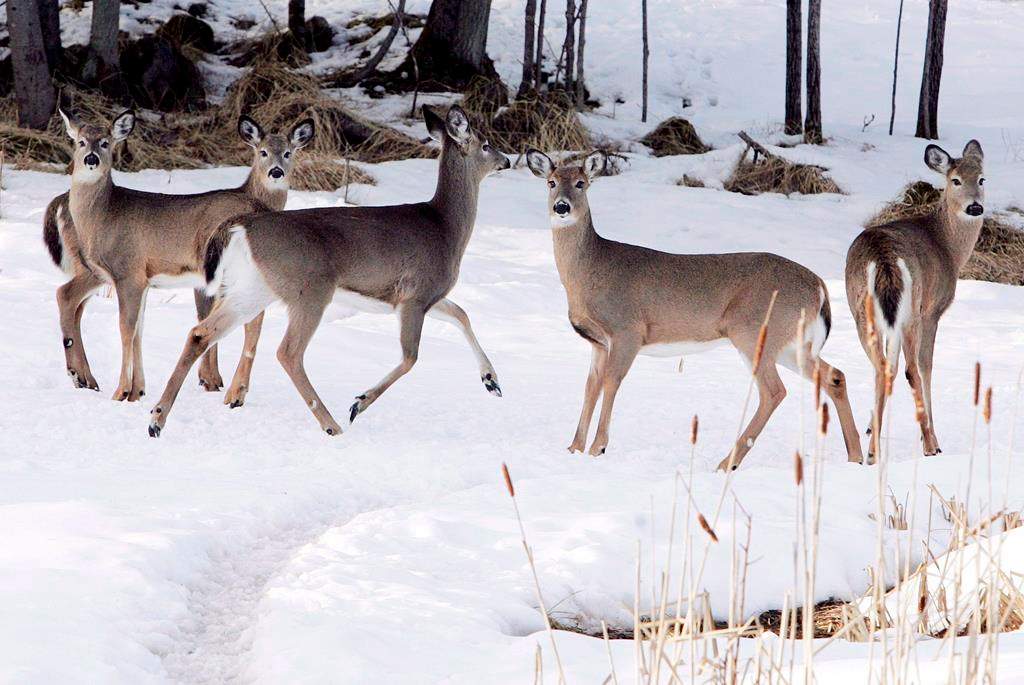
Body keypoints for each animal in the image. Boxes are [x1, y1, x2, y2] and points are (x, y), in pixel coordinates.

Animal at [48, 108, 313, 404]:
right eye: (81, 142)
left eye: (105, 143)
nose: (91, 159)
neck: (104, 215)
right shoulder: (141, 279)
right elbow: (138, 329)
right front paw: (137, 391)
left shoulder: (129, 273)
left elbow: (128, 329)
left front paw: (123, 391)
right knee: (69, 297)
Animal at [146, 105, 509, 437]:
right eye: (486, 144)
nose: (506, 160)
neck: (445, 227)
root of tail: (242, 225)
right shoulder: (415, 294)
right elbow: (411, 357)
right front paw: (359, 402)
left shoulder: (429, 297)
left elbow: (461, 314)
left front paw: (491, 380)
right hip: (310, 289)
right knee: (288, 352)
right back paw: (331, 423)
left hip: (253, 288)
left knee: (200, 333)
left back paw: (156, 420)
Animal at [526, 149, 864, 470]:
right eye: (551, 182)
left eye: (581, 183)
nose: (561, 207)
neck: (589, 273)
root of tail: (819, 286)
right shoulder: (597, 341)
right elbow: (590, 387)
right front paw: (573, 448)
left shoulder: (627, 330)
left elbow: (611, 382)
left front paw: (598, 447)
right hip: (793, 344)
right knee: (834, 376)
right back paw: (857, 456)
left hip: (753, 331)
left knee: (774, 391)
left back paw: (728, 462)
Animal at [846, 140, 985, 460]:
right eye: (955, 180)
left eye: (982, 179)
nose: (975, 206)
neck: (949, 247)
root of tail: (884, 258)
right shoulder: (933, 310)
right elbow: (926, 366)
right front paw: (932, 437)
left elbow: (891, 364)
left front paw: (871, 426)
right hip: (913, 310)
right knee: (912, 370)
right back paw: (929, 445)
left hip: (863, 310)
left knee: (882, 367)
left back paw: (872, 449)